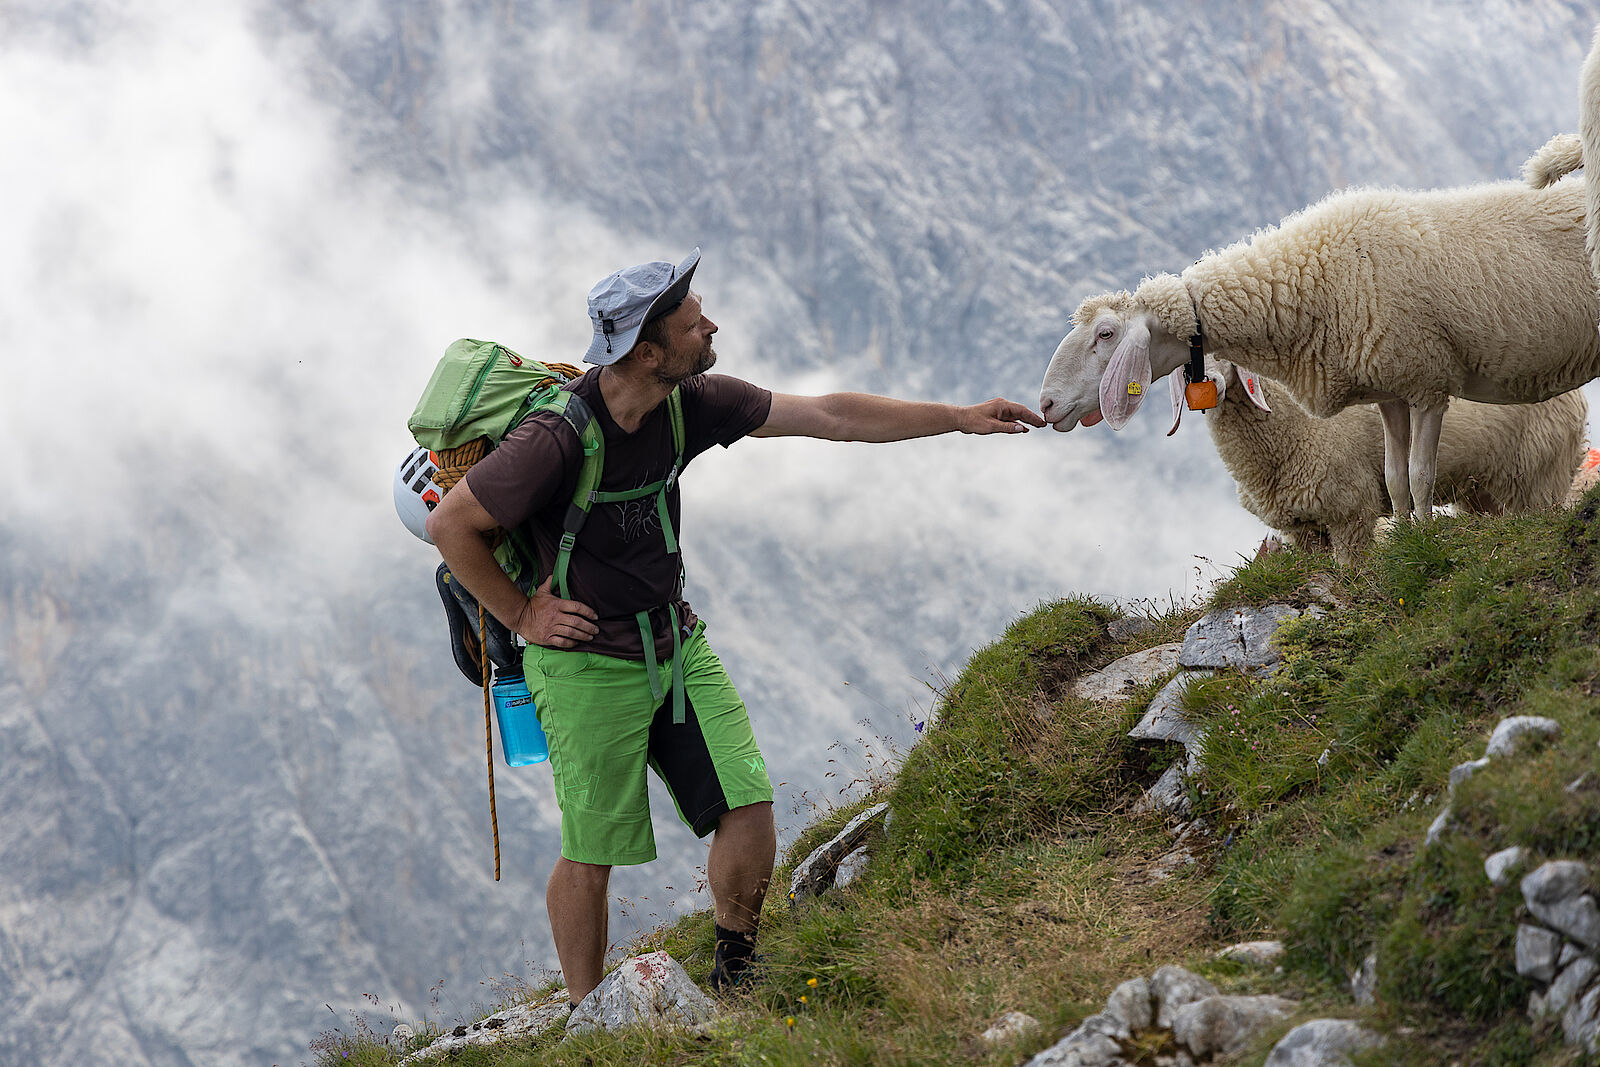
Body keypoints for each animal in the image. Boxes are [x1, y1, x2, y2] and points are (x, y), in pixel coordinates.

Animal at [1036, 171, 1600, 524]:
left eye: (1106, 334)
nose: (1045, 404)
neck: (1313, 281)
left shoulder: (1427, 383)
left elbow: (1421, 476)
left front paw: (1429, 543)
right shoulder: (1390, 390)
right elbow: (1394, 478)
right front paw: (1406, 540)